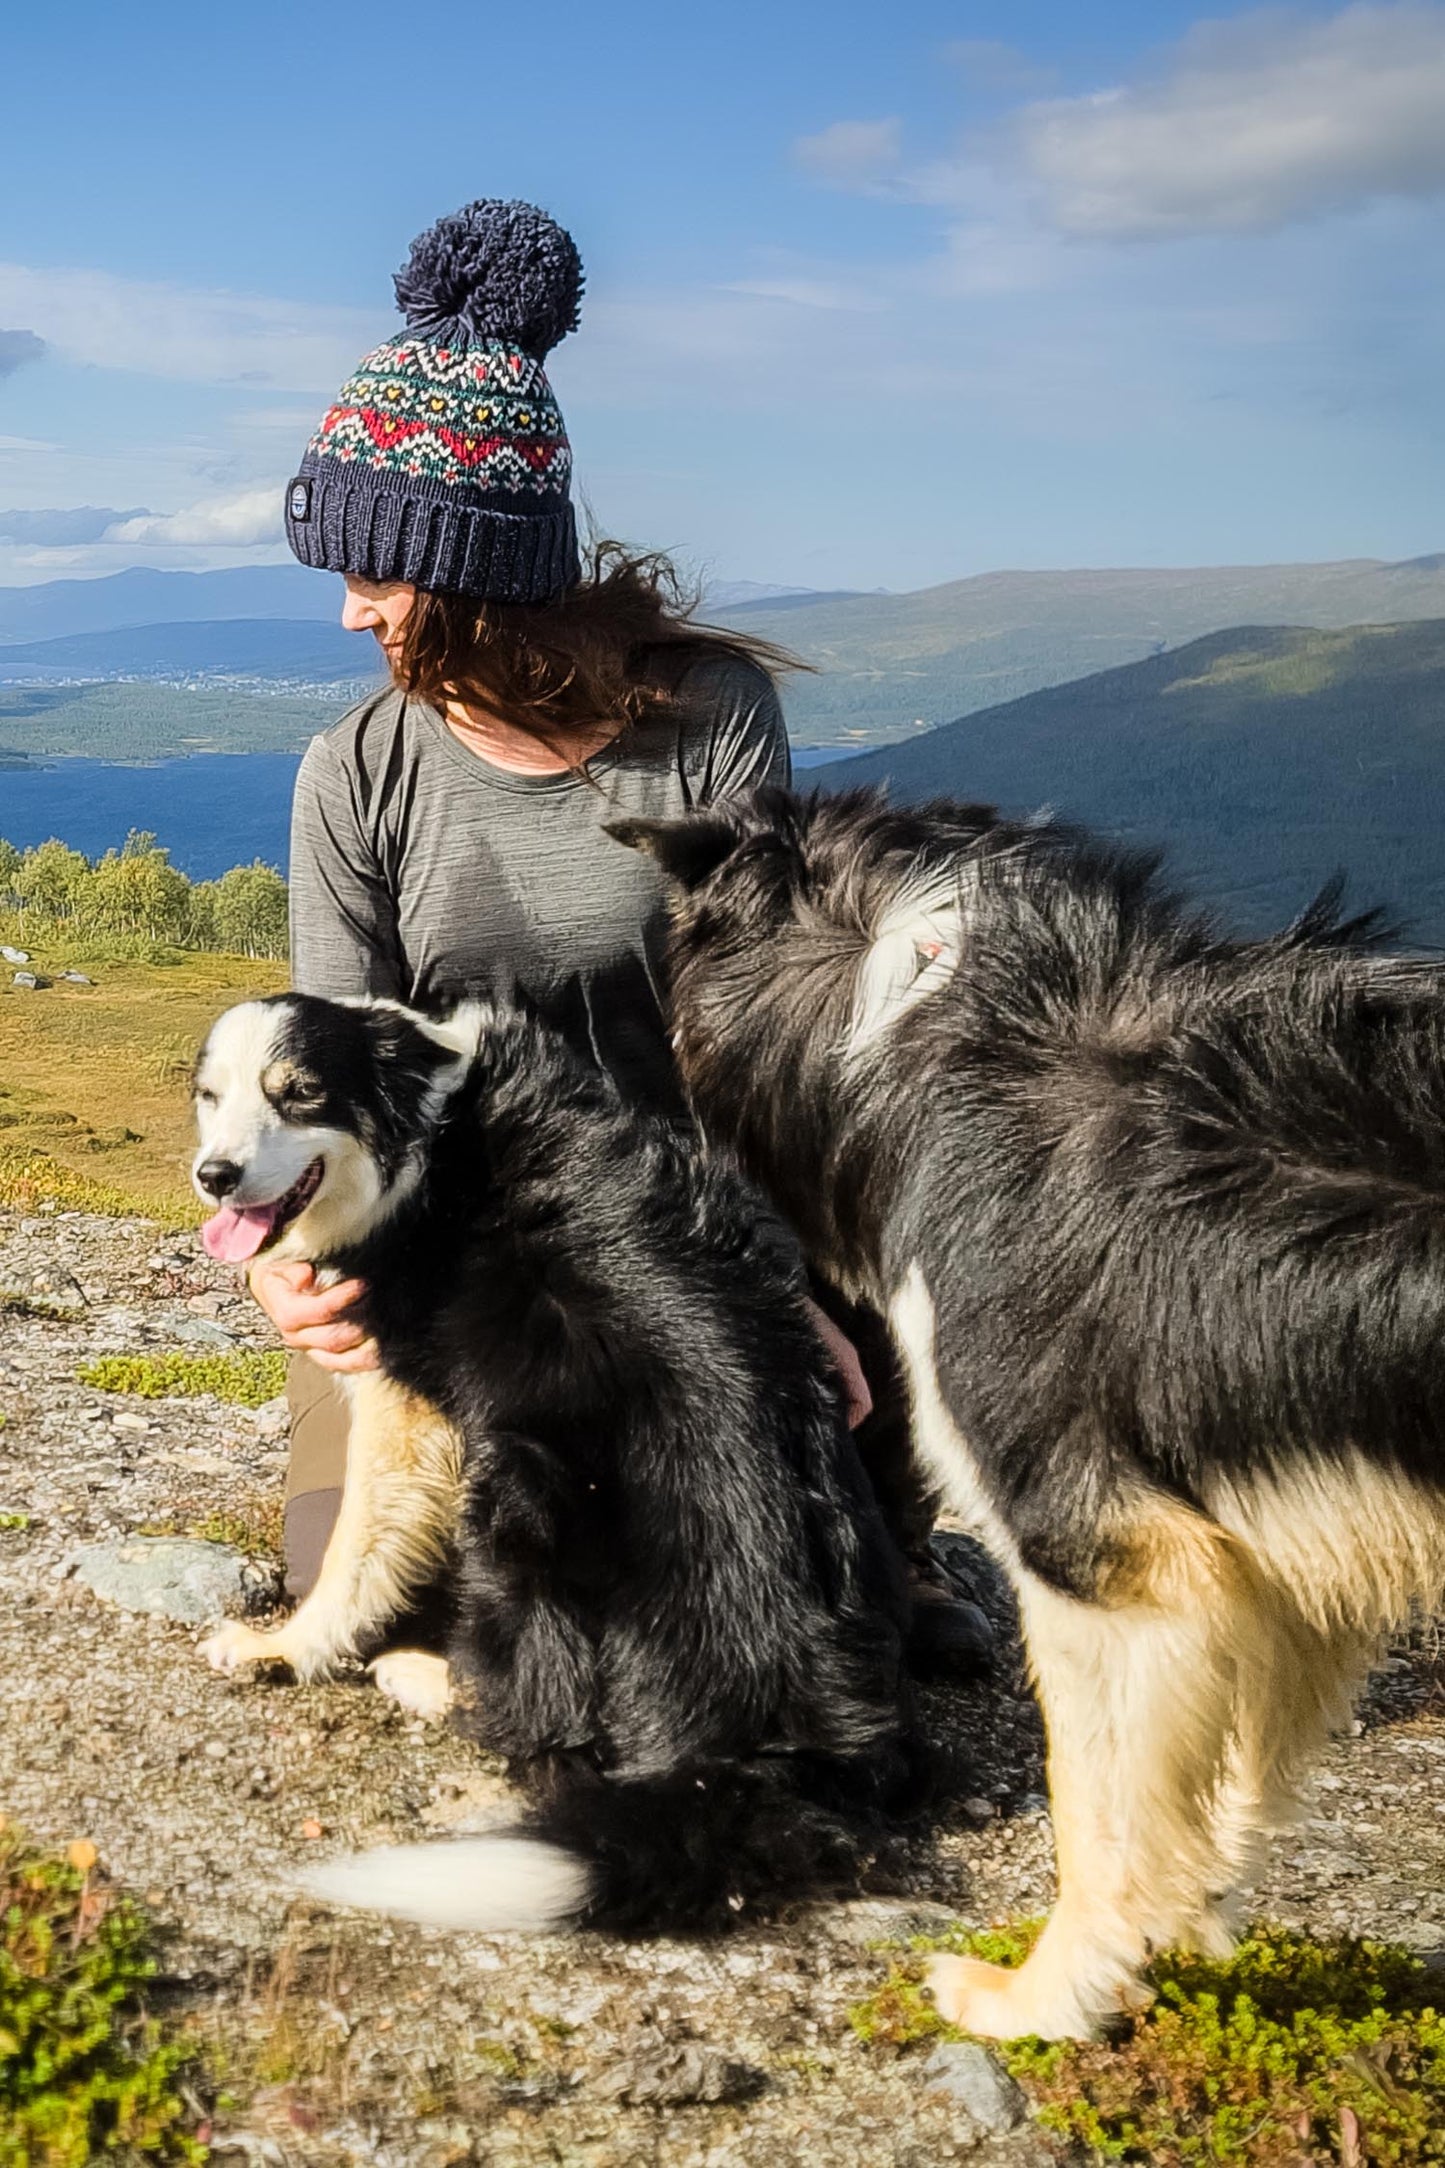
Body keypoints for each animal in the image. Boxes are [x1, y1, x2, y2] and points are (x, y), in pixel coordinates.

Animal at [191, 992, 914, 1933]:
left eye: (299, 1093)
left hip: (519, 1488)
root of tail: (764, 1742)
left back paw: (433, 1678)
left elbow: (357, 1548)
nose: (213, 1176)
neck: (427, 1120)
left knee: (554, 1732)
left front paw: (284, 1648)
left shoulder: (405, 1402)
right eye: (210, 1096)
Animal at [615, 789, 1445, 2037]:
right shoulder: (1282, 1542)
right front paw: (1194, 1907)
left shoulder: (1106, 1555)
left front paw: (1047, 1992)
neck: (913, 1010)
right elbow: (1220, 1774)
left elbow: (1093, 1808)